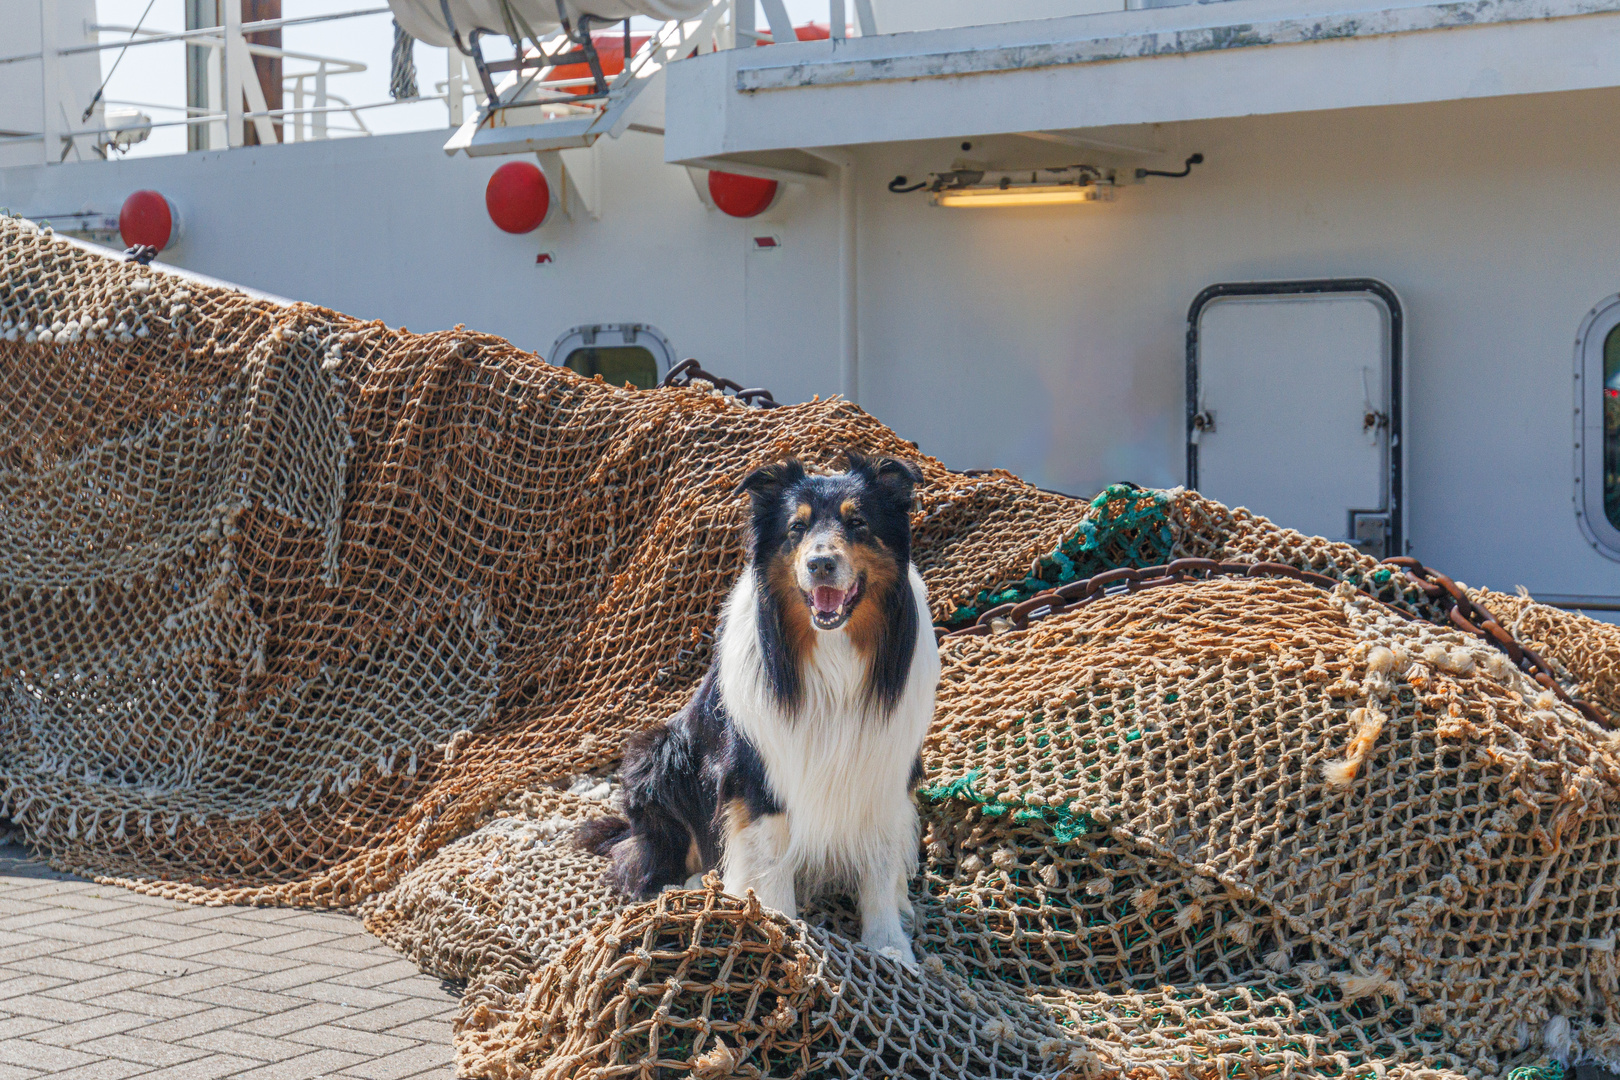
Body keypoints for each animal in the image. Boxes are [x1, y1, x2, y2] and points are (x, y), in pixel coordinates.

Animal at [579, 446, 939, 965]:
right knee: (651, 859)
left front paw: (889, 947)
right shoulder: (757, 776)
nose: (821, 564)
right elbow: (770, 863)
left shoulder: (885, 774)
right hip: (658, 752)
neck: (833, 655)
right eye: (796, 528)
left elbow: (879, 865)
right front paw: (780, 929)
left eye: (858, 523)